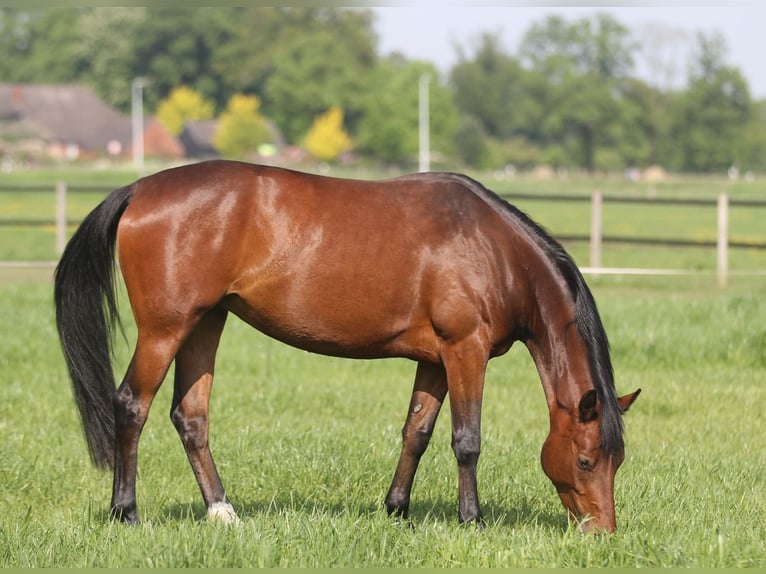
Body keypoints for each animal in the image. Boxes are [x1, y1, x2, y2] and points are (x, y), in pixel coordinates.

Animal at [55, 160, 640, 532]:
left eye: (619, 460)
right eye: (586, 460)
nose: (602, 532)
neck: (493, 250)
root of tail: (139, 189)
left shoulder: (434, 359)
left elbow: (417, 433)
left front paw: (397, 510)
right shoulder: (464, 350)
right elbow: (466, 440)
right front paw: (471, 520)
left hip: (205, 323)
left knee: (190, 417)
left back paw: (222, 512)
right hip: (165, 329)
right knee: (132, 405)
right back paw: (126, 512)